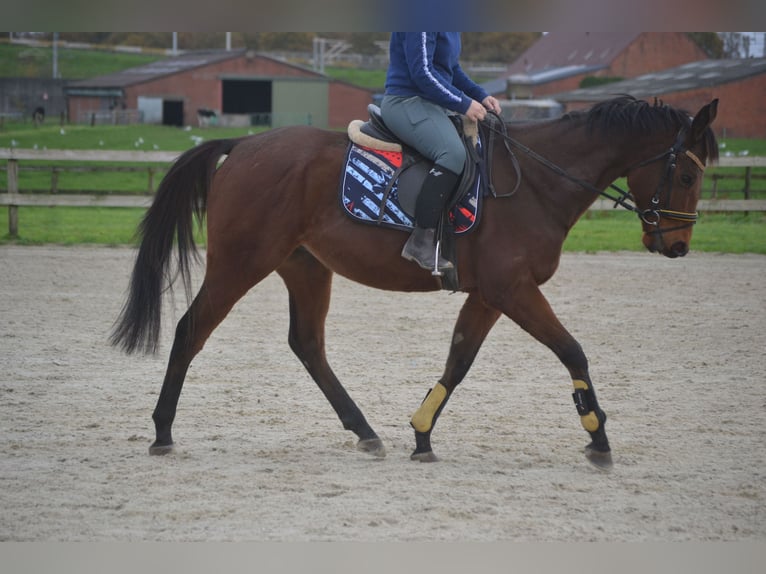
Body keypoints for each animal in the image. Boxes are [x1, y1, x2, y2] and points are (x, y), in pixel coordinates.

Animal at [112, 97, 720, 470]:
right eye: (689, 174)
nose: (678, 246)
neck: (536, 181)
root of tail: (243, 145)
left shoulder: (489, 294)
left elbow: (459, 359)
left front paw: (422, 433)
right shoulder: (514, 290)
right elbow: (572, 351)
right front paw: (597, 435)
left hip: (305, 267)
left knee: (307, 344)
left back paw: (364, 430)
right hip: (241, 263)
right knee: (192, 330)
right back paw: (163, 431)